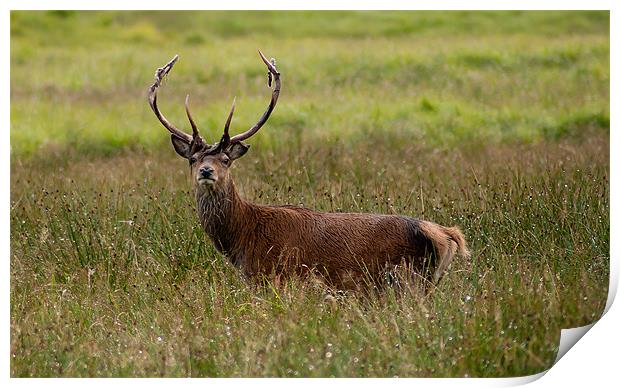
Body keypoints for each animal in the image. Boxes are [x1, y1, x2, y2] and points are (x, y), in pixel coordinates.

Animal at [148, 50, 468, 290]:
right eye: (193, 159)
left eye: (226, 159)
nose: (206, 171)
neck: (242, 238)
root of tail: (445, 235)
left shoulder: (277, 277)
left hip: (405, 279)